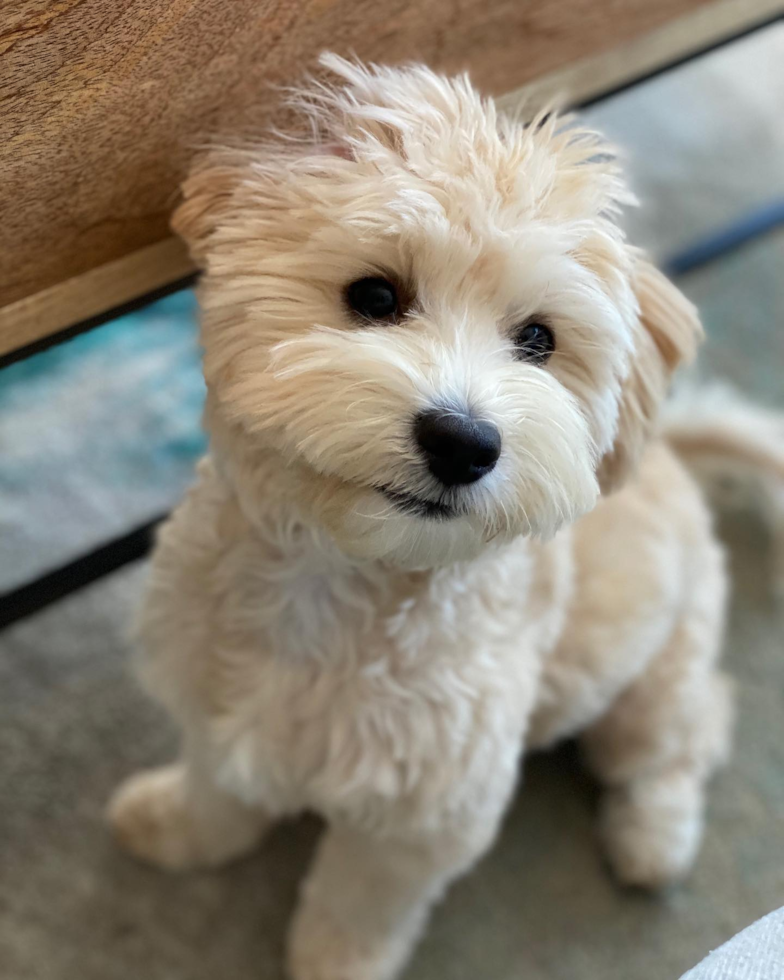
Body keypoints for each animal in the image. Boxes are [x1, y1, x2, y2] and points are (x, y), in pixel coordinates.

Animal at [108, 55, 736, 980]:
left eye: (539, 340)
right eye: (375, 294)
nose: (463, 442)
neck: (336, 586)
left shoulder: (425, 817)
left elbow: (358, 902)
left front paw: (335, 962)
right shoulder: (213, 697)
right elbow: (217, 790)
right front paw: (178, 828)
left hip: (651, 681)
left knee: (690, 731)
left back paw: (653, 834)